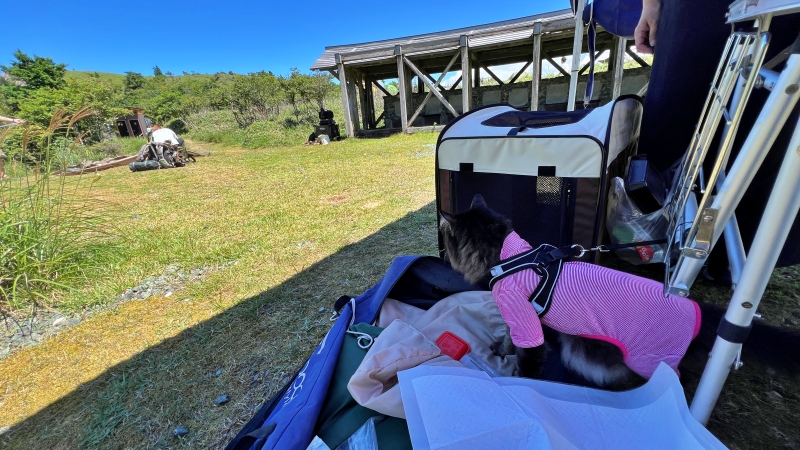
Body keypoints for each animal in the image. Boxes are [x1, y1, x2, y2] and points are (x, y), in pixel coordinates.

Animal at [438, 193, 800, 390]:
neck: (510, 257)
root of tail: (697, 310)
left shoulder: (526, 326)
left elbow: (527, 364)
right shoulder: (520, 320)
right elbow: (507, 339)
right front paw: (501, 349)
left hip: (631, 360)